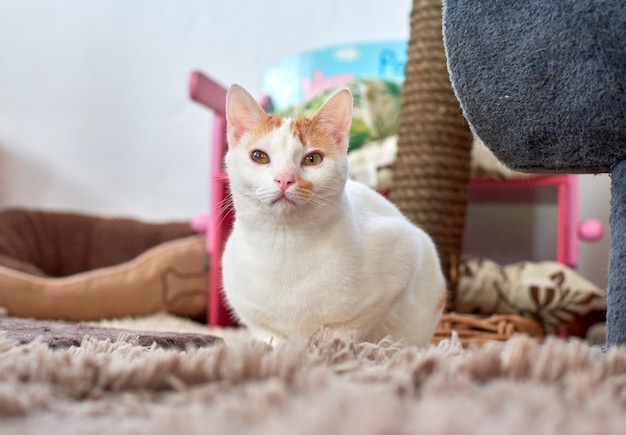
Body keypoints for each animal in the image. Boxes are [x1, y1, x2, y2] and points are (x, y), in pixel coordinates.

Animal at [219, 82, 444, 348]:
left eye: (312, 158)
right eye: (259, 156)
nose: (285, 179)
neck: (285, 244)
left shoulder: (405, 250)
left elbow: (347, 327)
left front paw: (330, 348)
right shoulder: (252, 314)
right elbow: (272, 337)